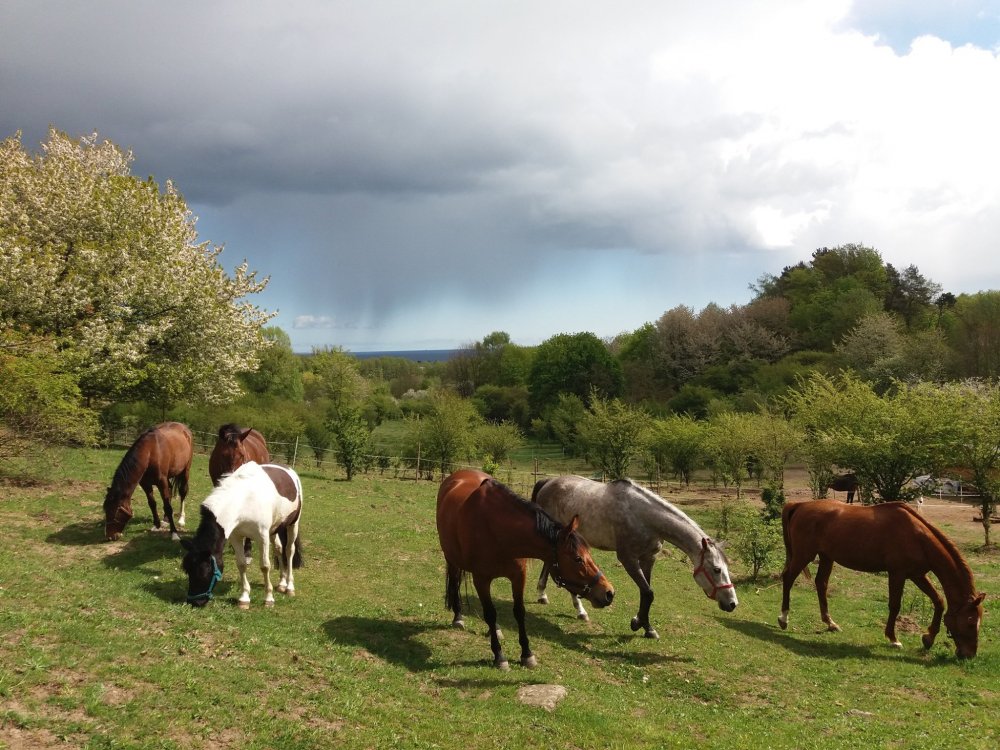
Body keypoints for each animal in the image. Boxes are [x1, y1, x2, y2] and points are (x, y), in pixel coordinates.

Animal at [181, 458, 302, 612]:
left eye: (203, 571)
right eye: (187, 571)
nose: (195, 602)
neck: (244, 500)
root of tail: (289, 470)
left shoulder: (262, 537)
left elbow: (265, 566)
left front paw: (269, 598)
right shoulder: (236, 537)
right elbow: (241, 564)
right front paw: (244, 598)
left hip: (293, 524)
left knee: (289, 551)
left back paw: (289, 587)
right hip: (274, 529)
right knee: (279, 549)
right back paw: (281, 583)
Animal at [440, 470, 616, 668]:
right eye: (578, 559)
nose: (609, 592)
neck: (498, 531)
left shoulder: (518, 576)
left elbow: (519, 611)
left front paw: (527, 654)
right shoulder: (481, 579)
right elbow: (490, 613)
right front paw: (499, 656)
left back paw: (496, 629)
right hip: (452, 560)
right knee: (454, 583)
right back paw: (458, 617)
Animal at [536, 478, 740, 636]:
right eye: (716, 569)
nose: (732, 603)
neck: (645, 518)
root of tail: (547, 483)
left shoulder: (648, 559)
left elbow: (646, 592)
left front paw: (645, 626)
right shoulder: (629, 560)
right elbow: (648, 593)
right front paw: (638, 624)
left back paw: (544, 596)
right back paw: (578, 609)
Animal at [776, 502, 980, 660]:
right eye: (971, 622)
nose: (969, 655)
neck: (917, 536)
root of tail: (800, 505)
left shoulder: (917, 575)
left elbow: (938, 601)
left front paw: (928, 638)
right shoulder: (897, 574)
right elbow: (895, 606)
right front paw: (893, 639)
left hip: (826, 557)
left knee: (821, 584)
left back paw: (830, 623)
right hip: (804, 555)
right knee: (788, 578)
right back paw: (783, 618)